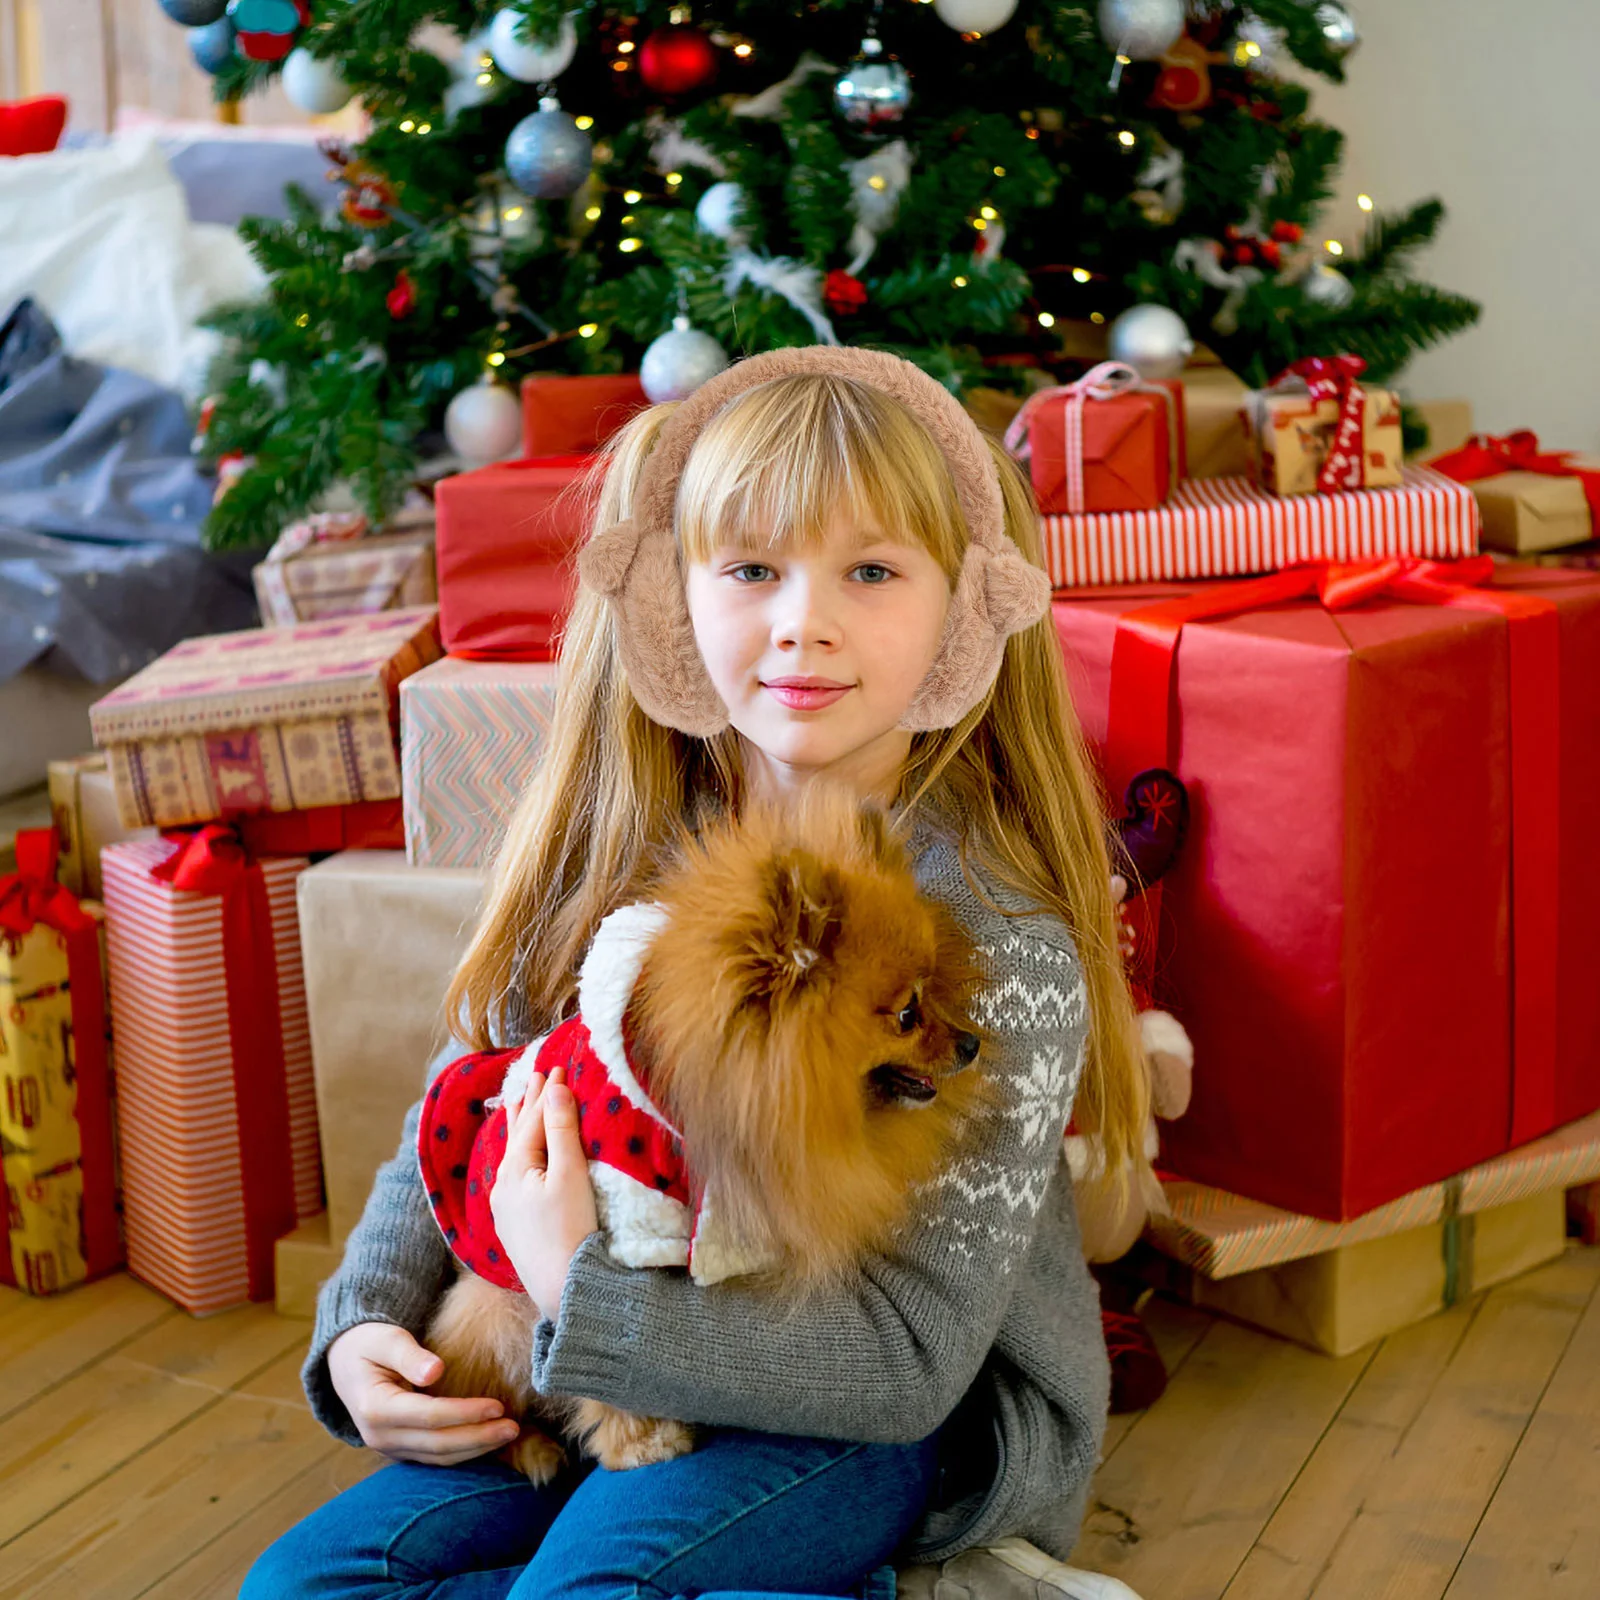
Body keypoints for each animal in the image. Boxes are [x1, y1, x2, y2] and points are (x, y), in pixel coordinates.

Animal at [416, 787, 985, 1484]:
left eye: (935, 991)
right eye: (907, 1014)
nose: (972, 1043)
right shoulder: (624, 1225)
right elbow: (604, 1358)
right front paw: (642, 1443)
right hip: (498, 1315)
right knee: (487, 1406)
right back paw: (529, 1446)